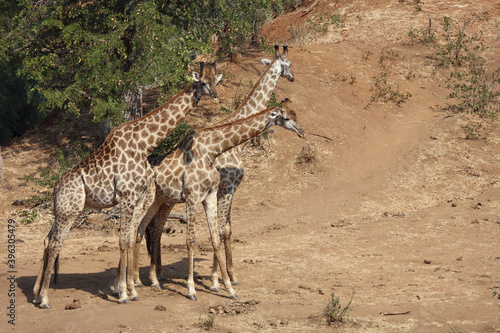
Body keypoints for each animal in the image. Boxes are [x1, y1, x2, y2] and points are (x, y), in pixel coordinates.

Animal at [32, 61, 223, 308]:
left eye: (215, 80)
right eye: (202, 82)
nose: (215, 97)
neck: (145, 145)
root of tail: (56, 189)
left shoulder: (138, 198)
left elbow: (131, 239)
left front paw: (131, 291)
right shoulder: (126, 196)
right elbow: (123, 241)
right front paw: (123, 293)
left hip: (62, 210)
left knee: (48, 239)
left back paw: (36, 294)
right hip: (70, 211)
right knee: (56, 243)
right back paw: (45, 298)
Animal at [134, 99, 304, 300]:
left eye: (295, 114)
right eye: (286, 117)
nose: (302, 132)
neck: (211, 151)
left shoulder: (210, 195)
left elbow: (216, 238)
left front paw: (229, 289)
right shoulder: (193, 197)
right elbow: (191, 240)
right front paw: (192, 289)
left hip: (160, 200)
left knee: (144, 229)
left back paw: (145, 281)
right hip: (146, 200)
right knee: (133, 231)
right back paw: (129, 286)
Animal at [143, 44, 294, 290]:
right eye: (288, 64)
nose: (292, 77)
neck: (237, 145)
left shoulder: (226, 190)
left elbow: (226, 229)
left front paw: (230, 276)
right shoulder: (226, 187)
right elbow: (222, 229)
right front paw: (218, 279)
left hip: (166, 198)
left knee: (152, 227)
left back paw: (158, 275)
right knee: (153, 228)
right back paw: (154, 276)